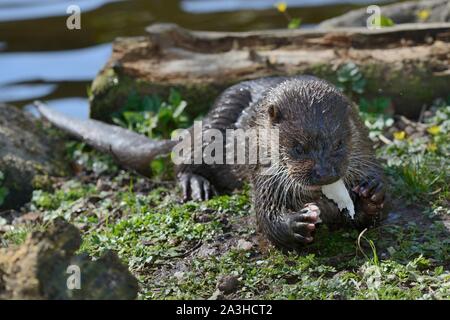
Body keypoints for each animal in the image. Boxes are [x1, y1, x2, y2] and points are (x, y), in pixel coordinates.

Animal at [36, 76, 386, 251]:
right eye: (297, 148)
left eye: (339, 144)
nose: (325, 173)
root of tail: (204, 118)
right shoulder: (264, 173)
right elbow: (265, 216)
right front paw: (297, 224)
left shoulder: (364, 150)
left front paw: (370, 194)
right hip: (214, 128)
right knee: (184, 158)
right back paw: (195, 184)